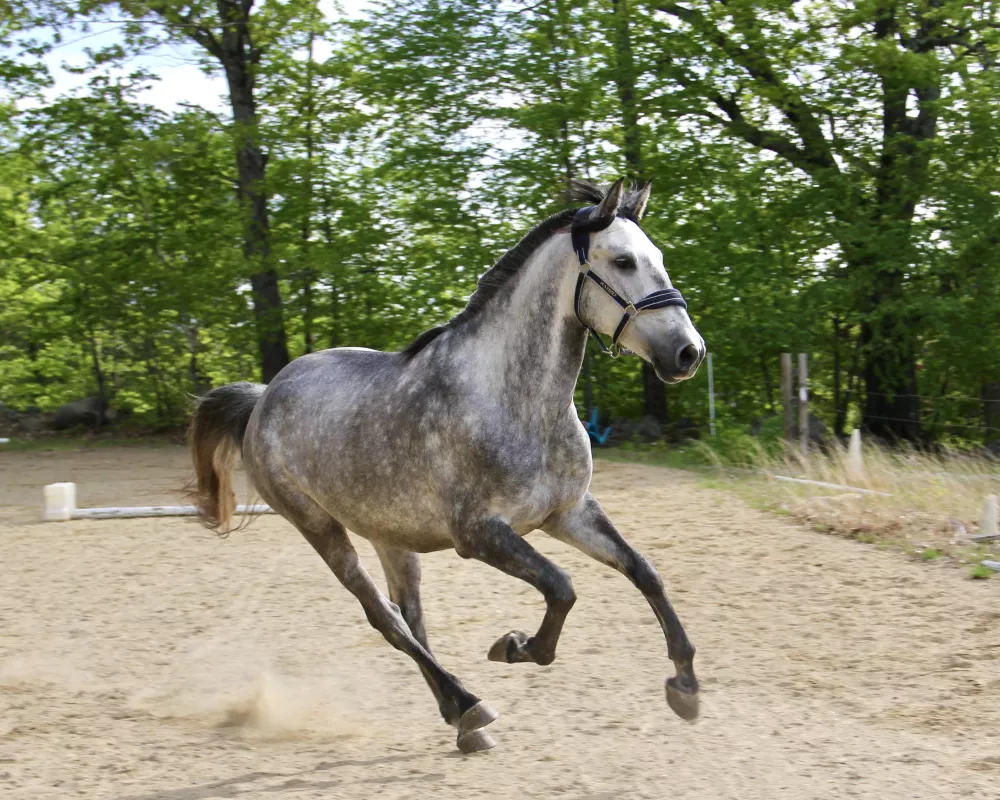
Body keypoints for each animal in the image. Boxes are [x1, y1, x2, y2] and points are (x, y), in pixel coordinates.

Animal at [188, 178, 704, 752]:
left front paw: (685, 686)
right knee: (385, 619)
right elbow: (562, 588)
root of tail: (264, 398)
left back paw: (459, 718)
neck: (518, 402)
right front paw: (515, 646)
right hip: (320, 528)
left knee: (410, 617)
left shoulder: (568, 513)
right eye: (622, 260)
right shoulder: (479, 534)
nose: (689, 354)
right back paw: (469, 704)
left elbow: (644, 571)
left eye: (659, 258)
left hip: (389, 533)